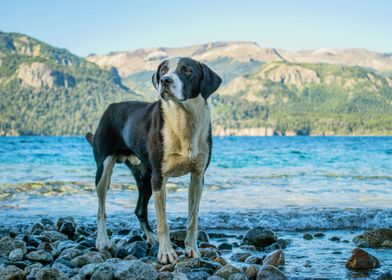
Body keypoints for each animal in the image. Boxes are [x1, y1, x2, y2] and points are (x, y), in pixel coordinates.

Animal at [85, 57, 220, 264]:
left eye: (187, 70)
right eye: (163, 70)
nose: (165, 80)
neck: (182, 117)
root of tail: (111, 106)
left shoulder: (198, 177)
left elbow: (193, 218)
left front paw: (192, 249)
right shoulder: (159, 178)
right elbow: (162, 220)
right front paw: (166, 253)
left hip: (144, 177)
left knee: (139, 210)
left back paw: (150, 238)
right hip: (105, 169)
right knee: (101, 208)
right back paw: (102, 240)